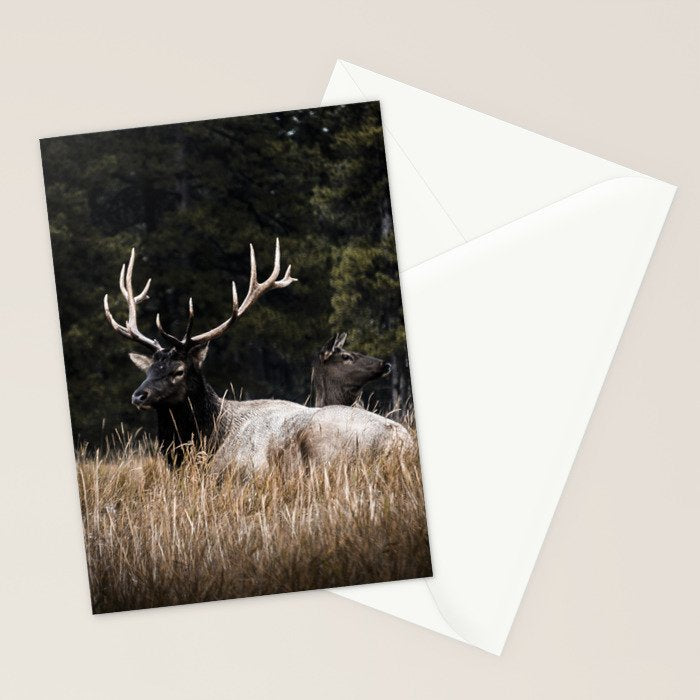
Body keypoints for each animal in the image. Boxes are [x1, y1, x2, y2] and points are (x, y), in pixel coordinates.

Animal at [104, 240, 412, 478]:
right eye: (148, 370)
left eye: (178, 371)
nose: (139, 395)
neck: (208, 439)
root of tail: (402, 442)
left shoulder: (245, 471)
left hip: (323, 445)